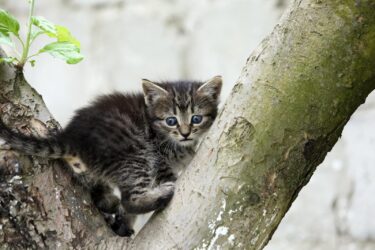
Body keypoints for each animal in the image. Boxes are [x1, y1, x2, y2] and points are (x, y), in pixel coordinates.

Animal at [0, 76, 223, 236]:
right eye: (171, 121)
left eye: (196, 118)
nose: (185, 133)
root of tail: (72, 137)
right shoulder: (158, 155)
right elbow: (166, 171)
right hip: (135, 155)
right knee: (130, 199)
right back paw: (161, 193)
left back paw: (110, 203)